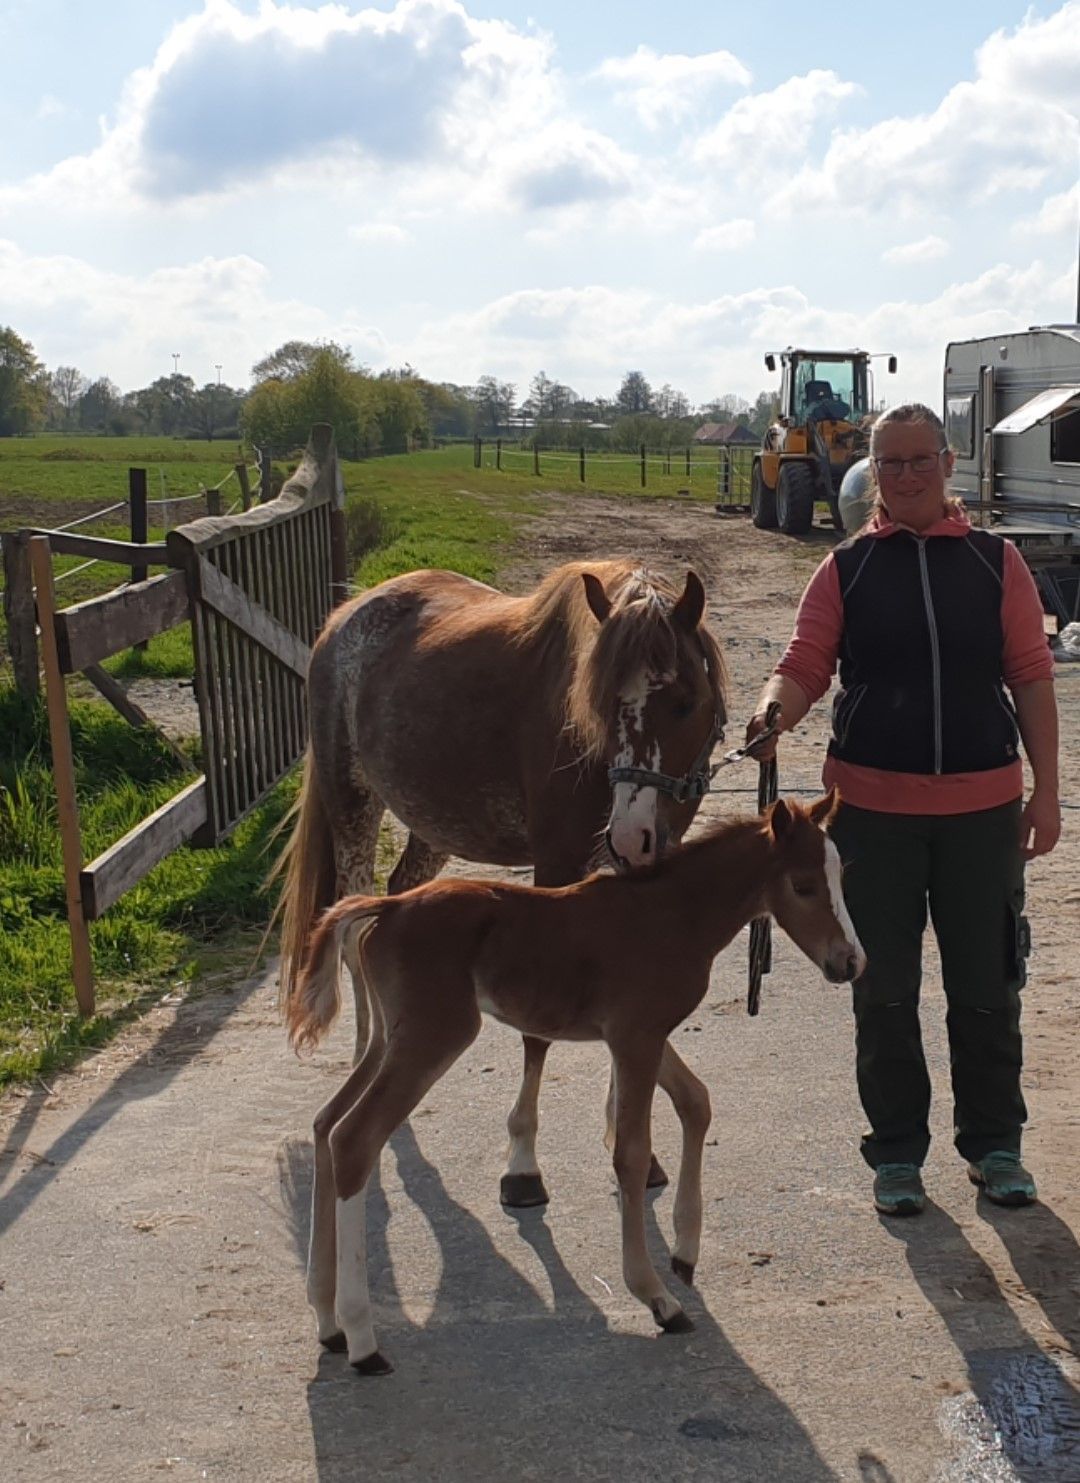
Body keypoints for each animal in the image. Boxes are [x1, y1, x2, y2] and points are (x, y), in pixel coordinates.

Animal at [276, 558, 727, 1207]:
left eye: (687, 703)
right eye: (601, 703)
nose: (632, 835)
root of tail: (346, 615)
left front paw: (632, 1147)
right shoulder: (556, 871)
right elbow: (537, 1038)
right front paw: (522, 1162)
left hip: (432, 830)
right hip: (352, 807)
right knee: (353, 932)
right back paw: (368, 1058)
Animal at [289, 789, 865, 1374]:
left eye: (840, 876)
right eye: (802, 885)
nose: (850, 962)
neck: (674, 915)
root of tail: (386, 908)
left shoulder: (639, 1034)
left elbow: (696, 1102)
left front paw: (685, 1251)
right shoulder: (635, 1036)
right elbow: (631, 1153)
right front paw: (657, 1297)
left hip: (386, 1039)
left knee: (325, 1124)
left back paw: (326, 1320)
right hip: (433, 1037)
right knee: (355, 1138)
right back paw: (363, 1340)